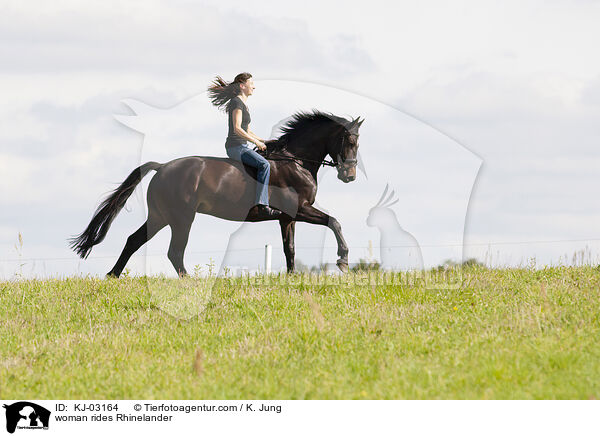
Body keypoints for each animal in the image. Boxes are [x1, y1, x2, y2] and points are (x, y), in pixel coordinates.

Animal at [69, 111, 360, 276]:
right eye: (349, 141)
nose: (350, 176)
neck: (295, 160)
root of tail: (162, 167)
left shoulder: (287, 217)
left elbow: (290, 248)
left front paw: (291, 278)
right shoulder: (299, 209)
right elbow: (334, 222)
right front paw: (343, 260)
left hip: (160, 217)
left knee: (134, 240)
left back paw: (113, 275)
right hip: (182, 218)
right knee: (174, 252)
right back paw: (189, 281)